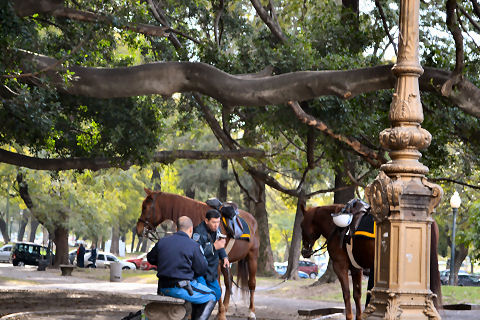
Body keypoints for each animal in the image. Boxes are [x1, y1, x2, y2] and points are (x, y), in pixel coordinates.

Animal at [137, 189, 260, 320]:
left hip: (252, 257)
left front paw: (221, 314)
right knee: (229, 282)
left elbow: (217, 287)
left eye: (145, 207)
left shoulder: (215, 262)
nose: (138, 229)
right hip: (227, 262)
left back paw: (251, 312)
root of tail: (253, 220)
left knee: (251, 283)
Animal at [302, 204, 440, 320]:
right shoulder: (356, 268)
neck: (336, 227)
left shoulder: (340, 266)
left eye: (301, 225)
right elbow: (357, 294)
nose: (304, 252)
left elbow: (346, 294)